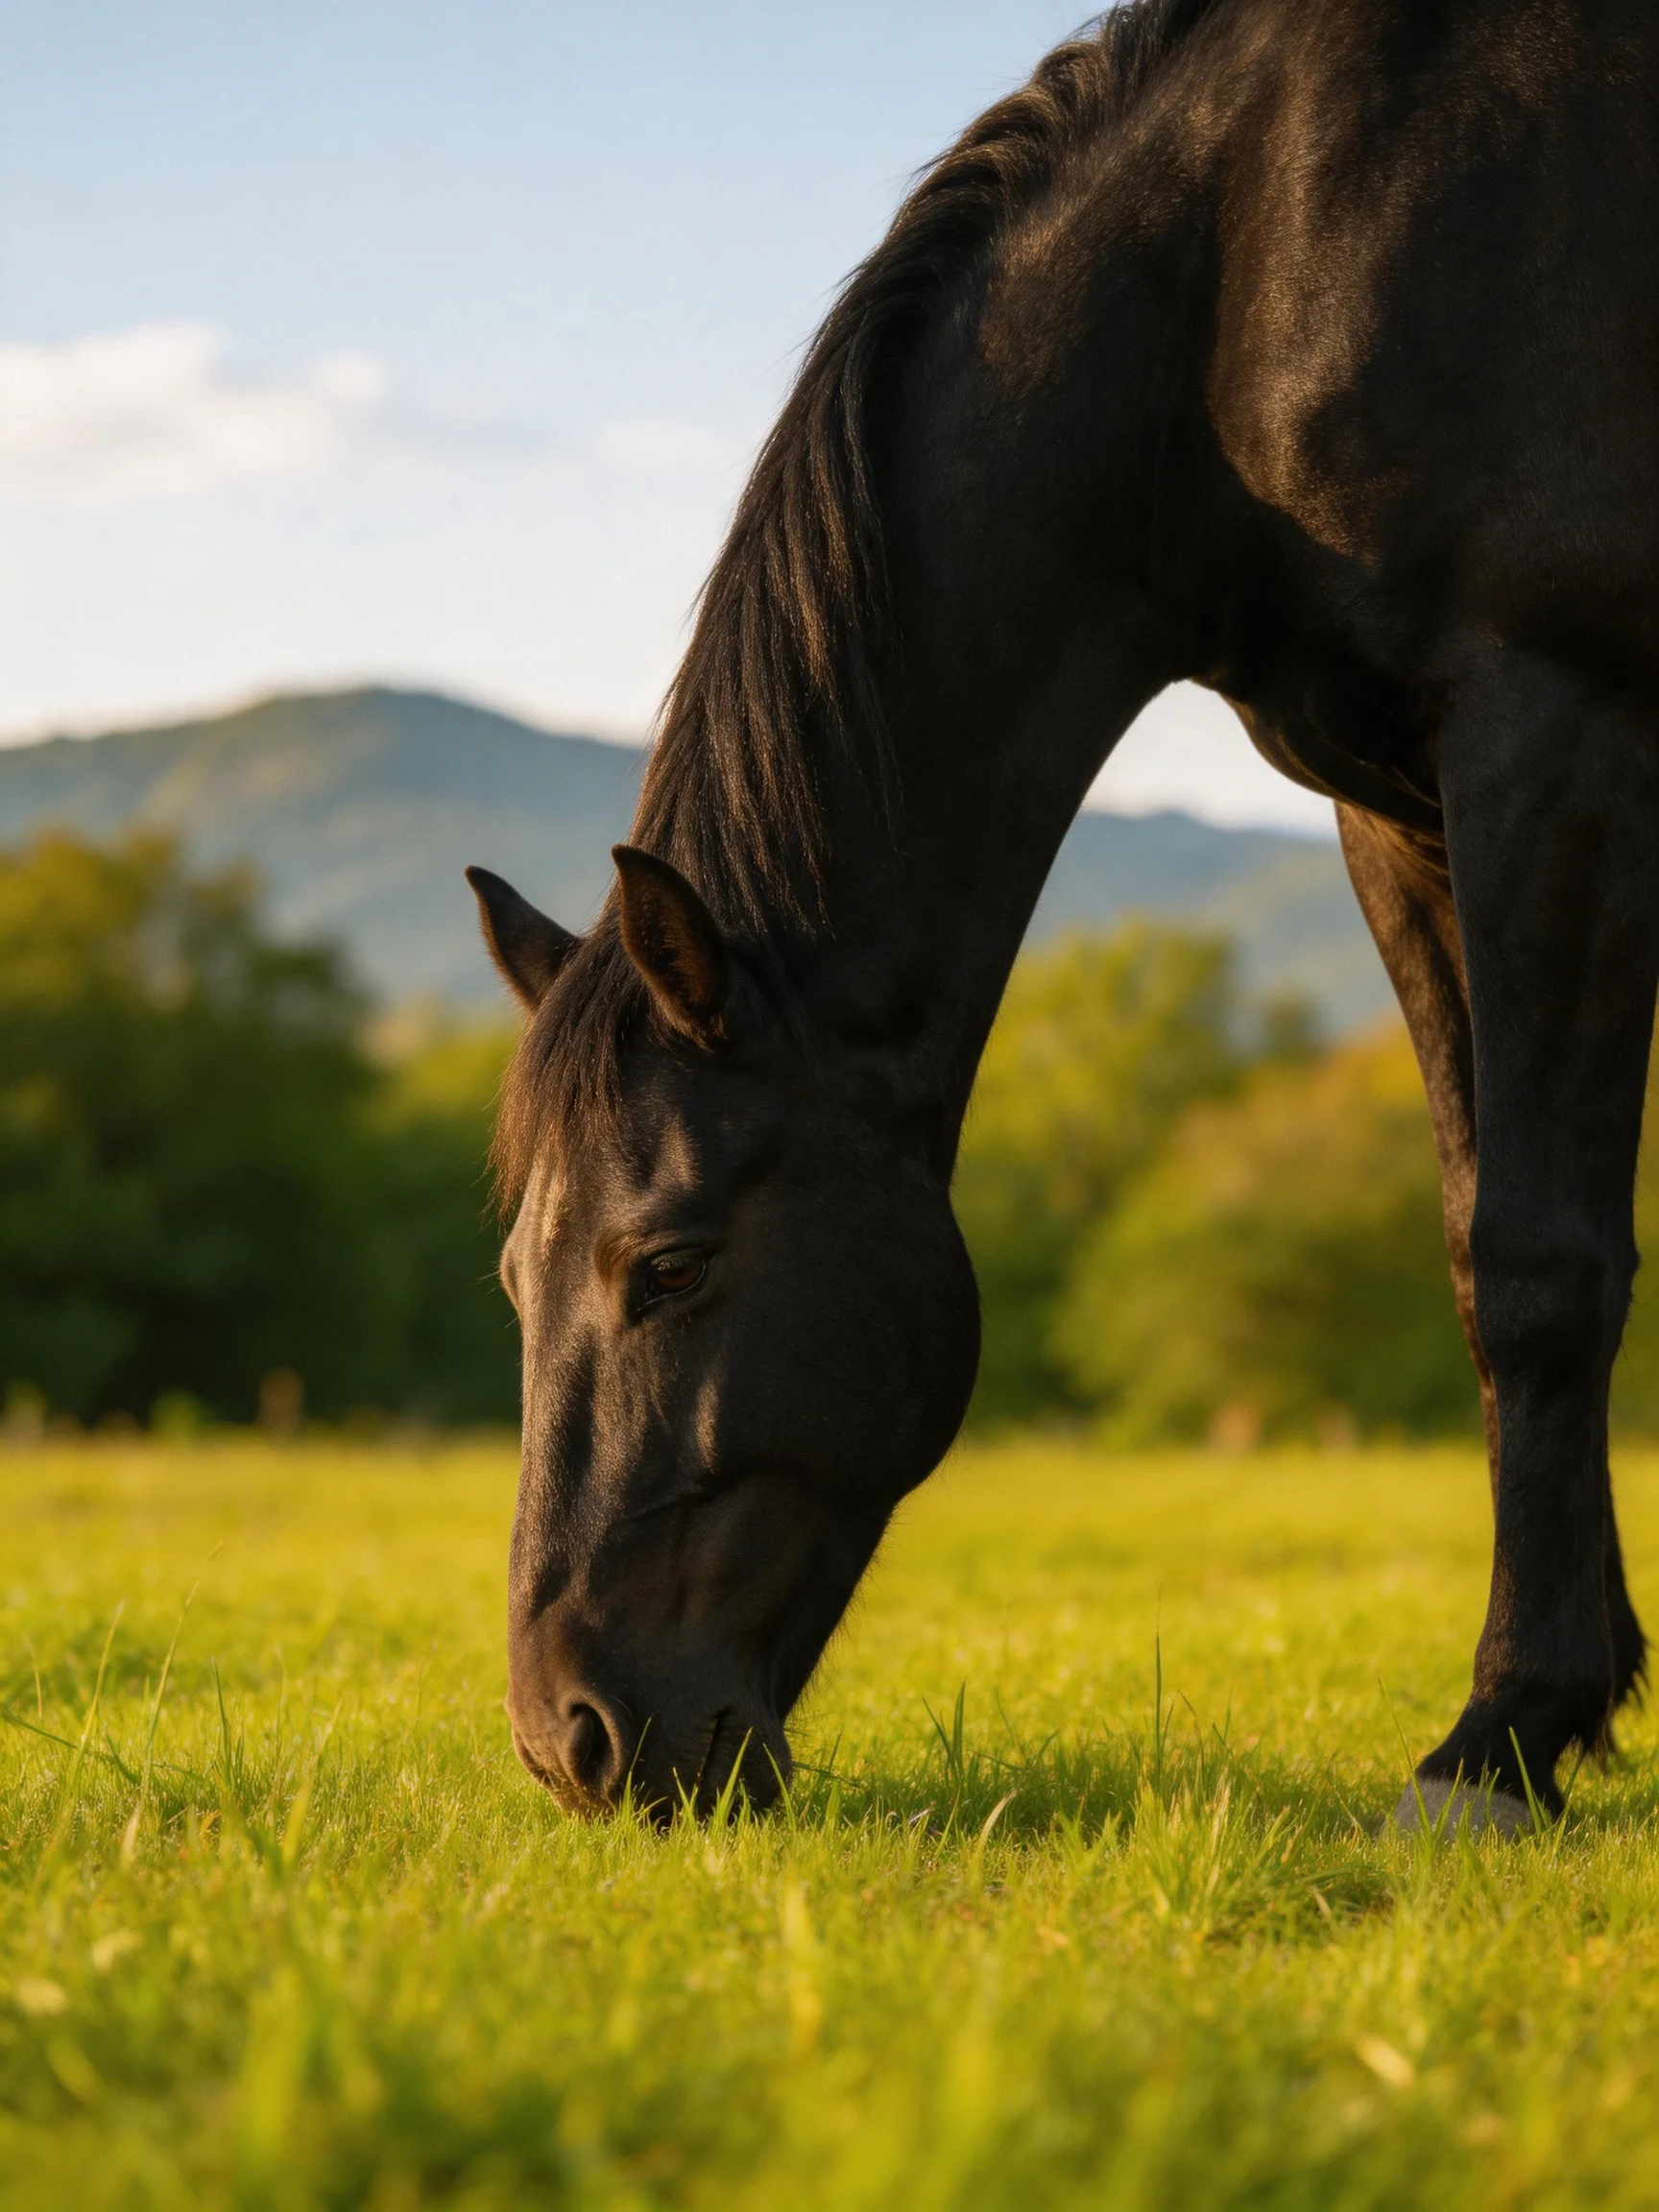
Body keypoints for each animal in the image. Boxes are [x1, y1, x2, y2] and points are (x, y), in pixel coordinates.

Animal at [468, 0, 1659, 1831]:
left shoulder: (1553, 727)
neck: (1249, 251)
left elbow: (1541, 1262)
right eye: (510, 1279)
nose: (572, 1740)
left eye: (667, 1261)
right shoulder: (1398, 817)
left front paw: (1503, 1733)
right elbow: (1482, 1244)